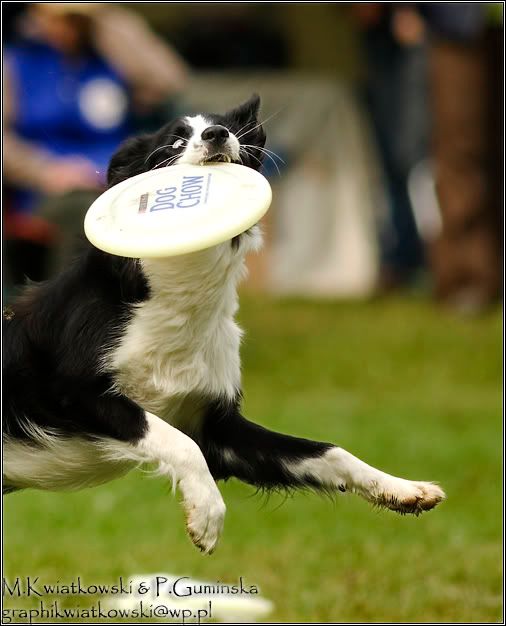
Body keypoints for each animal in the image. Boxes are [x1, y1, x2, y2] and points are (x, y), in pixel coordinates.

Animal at [3, 95, 445, 553]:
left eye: (224, 127)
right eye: (175, 140)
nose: (217, 135)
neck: (180, 293)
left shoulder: (218, 429)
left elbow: (329, 452)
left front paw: (402, 488)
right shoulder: (71, 393)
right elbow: (173, 439)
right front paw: (207, 515)